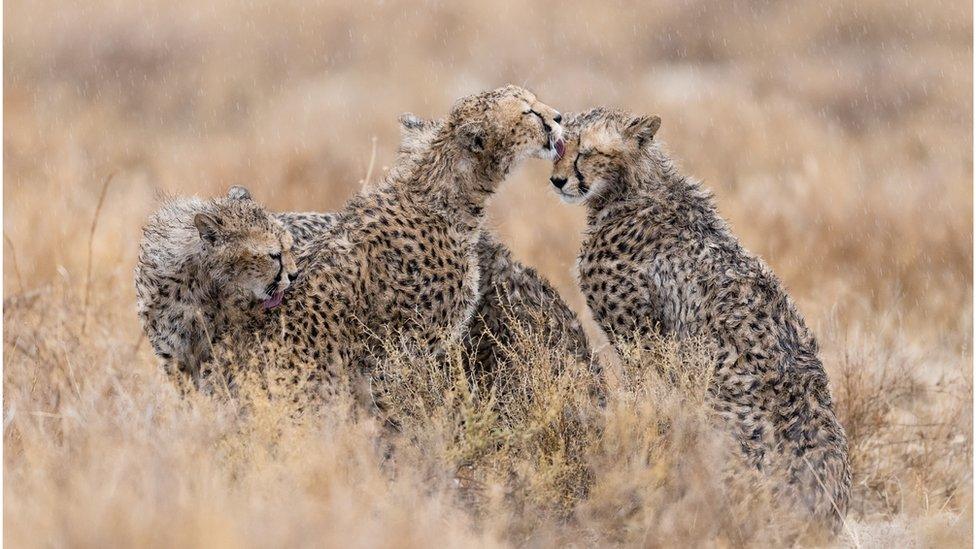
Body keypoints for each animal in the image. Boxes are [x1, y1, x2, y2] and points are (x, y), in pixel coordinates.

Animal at [552, 108, 852, 536]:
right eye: (558, 146)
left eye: (588, 151)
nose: (557, 180)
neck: (632, 186)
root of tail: (826, 511)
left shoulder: (640, 342)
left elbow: (638, 402)